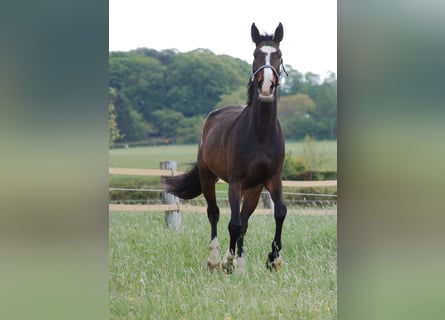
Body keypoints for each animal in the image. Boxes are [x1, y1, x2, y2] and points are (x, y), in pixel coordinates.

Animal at [163, 22, 288, 272]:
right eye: (255, 55)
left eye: (278, 55)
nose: (266, 87)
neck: (260, 134)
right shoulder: (235, 182)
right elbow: (233, 223)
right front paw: (227, 261)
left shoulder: (272, 179)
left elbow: (279, 213)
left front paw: (273, 259)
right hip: (207, 177)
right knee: (215, 214)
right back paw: (214, 260)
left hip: (253, 189)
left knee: (245, 220)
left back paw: (241, 261)